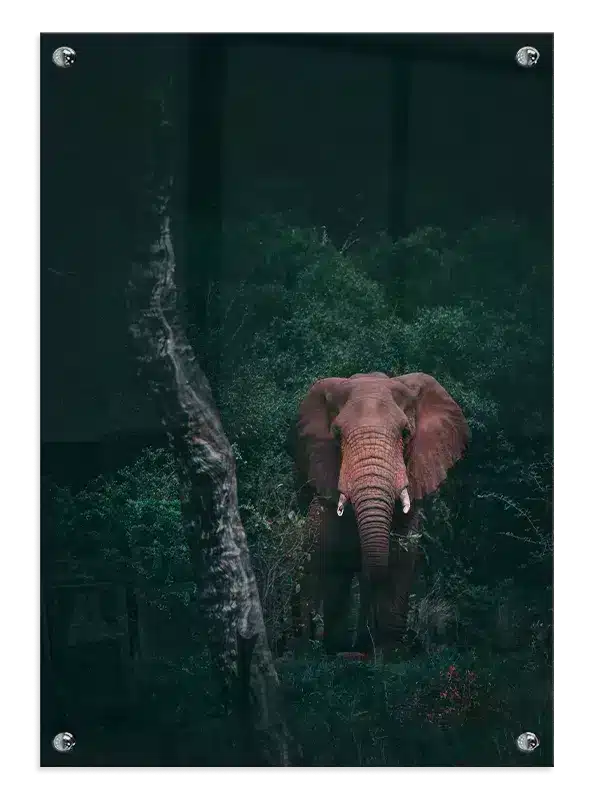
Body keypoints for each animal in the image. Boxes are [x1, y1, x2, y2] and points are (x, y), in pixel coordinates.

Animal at [295, 371, 469, 656]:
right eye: (337, 435)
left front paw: (389, 653)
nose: (361, 647)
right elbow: (331, 566)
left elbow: (400, 560)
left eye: (406, 433)